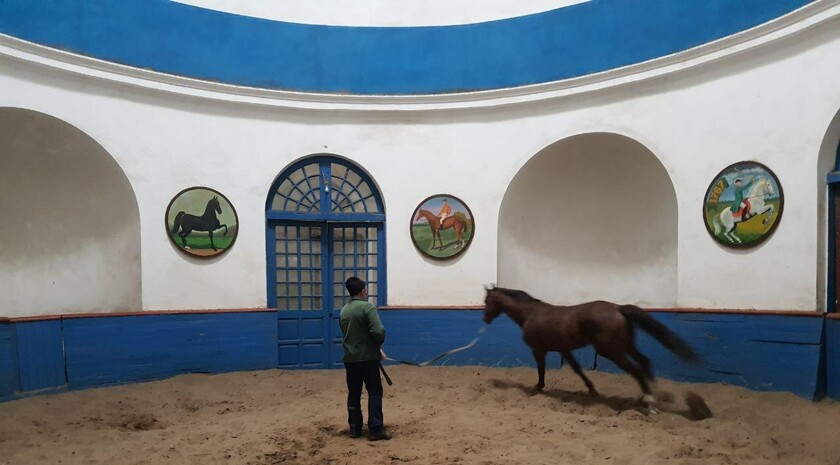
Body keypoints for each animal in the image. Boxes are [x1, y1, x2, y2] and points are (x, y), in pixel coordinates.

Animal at [482, 284, 700, 412]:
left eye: (486, 301)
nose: (485, 319)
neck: (530, 314)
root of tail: (619, 308)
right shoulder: (564, 350)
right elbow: (578, 370)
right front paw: (592, 390)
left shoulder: (538, 350)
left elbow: (541, 370)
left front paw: (538, 388)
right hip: (626, 346)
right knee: (644, 362)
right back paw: (653, 396)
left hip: (611, 351)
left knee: (636, 370)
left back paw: (650, 402)